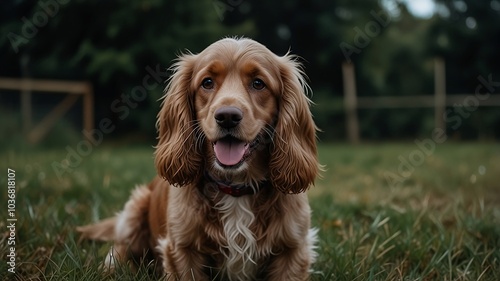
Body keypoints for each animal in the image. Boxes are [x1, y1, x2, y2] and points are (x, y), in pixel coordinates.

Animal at [78, 37, 320, 280]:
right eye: (207, 82)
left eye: (258, 83)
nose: (227, 116)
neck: (236, 189)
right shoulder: (182, 250)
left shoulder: (293, 250)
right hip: (134, 212)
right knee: (119, 252)